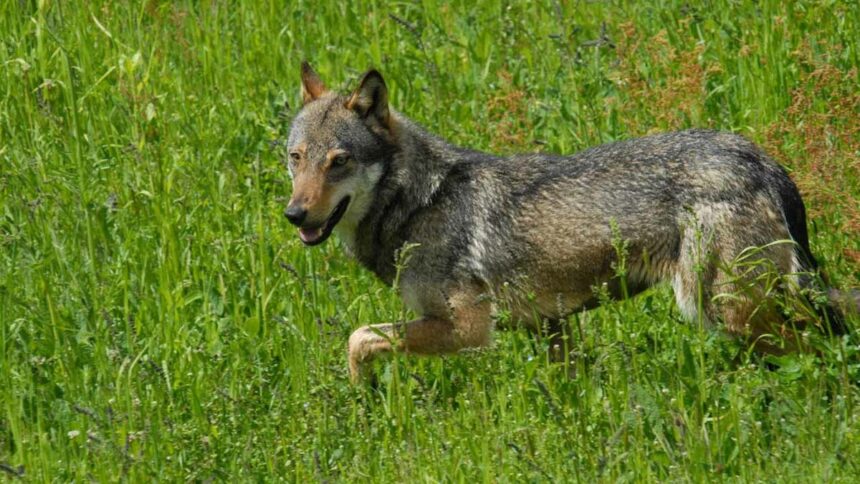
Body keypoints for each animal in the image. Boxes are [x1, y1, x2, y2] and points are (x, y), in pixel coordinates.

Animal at [284, 62, 856, 382]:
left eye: (339, 161)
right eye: (296, 159)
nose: (294, 214)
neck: (419, 202)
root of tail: (762, 161)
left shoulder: (469, 330)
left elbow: (358, 337)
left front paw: (362, 398)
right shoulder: (550, 327)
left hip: (722, 311)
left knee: (826, 350)